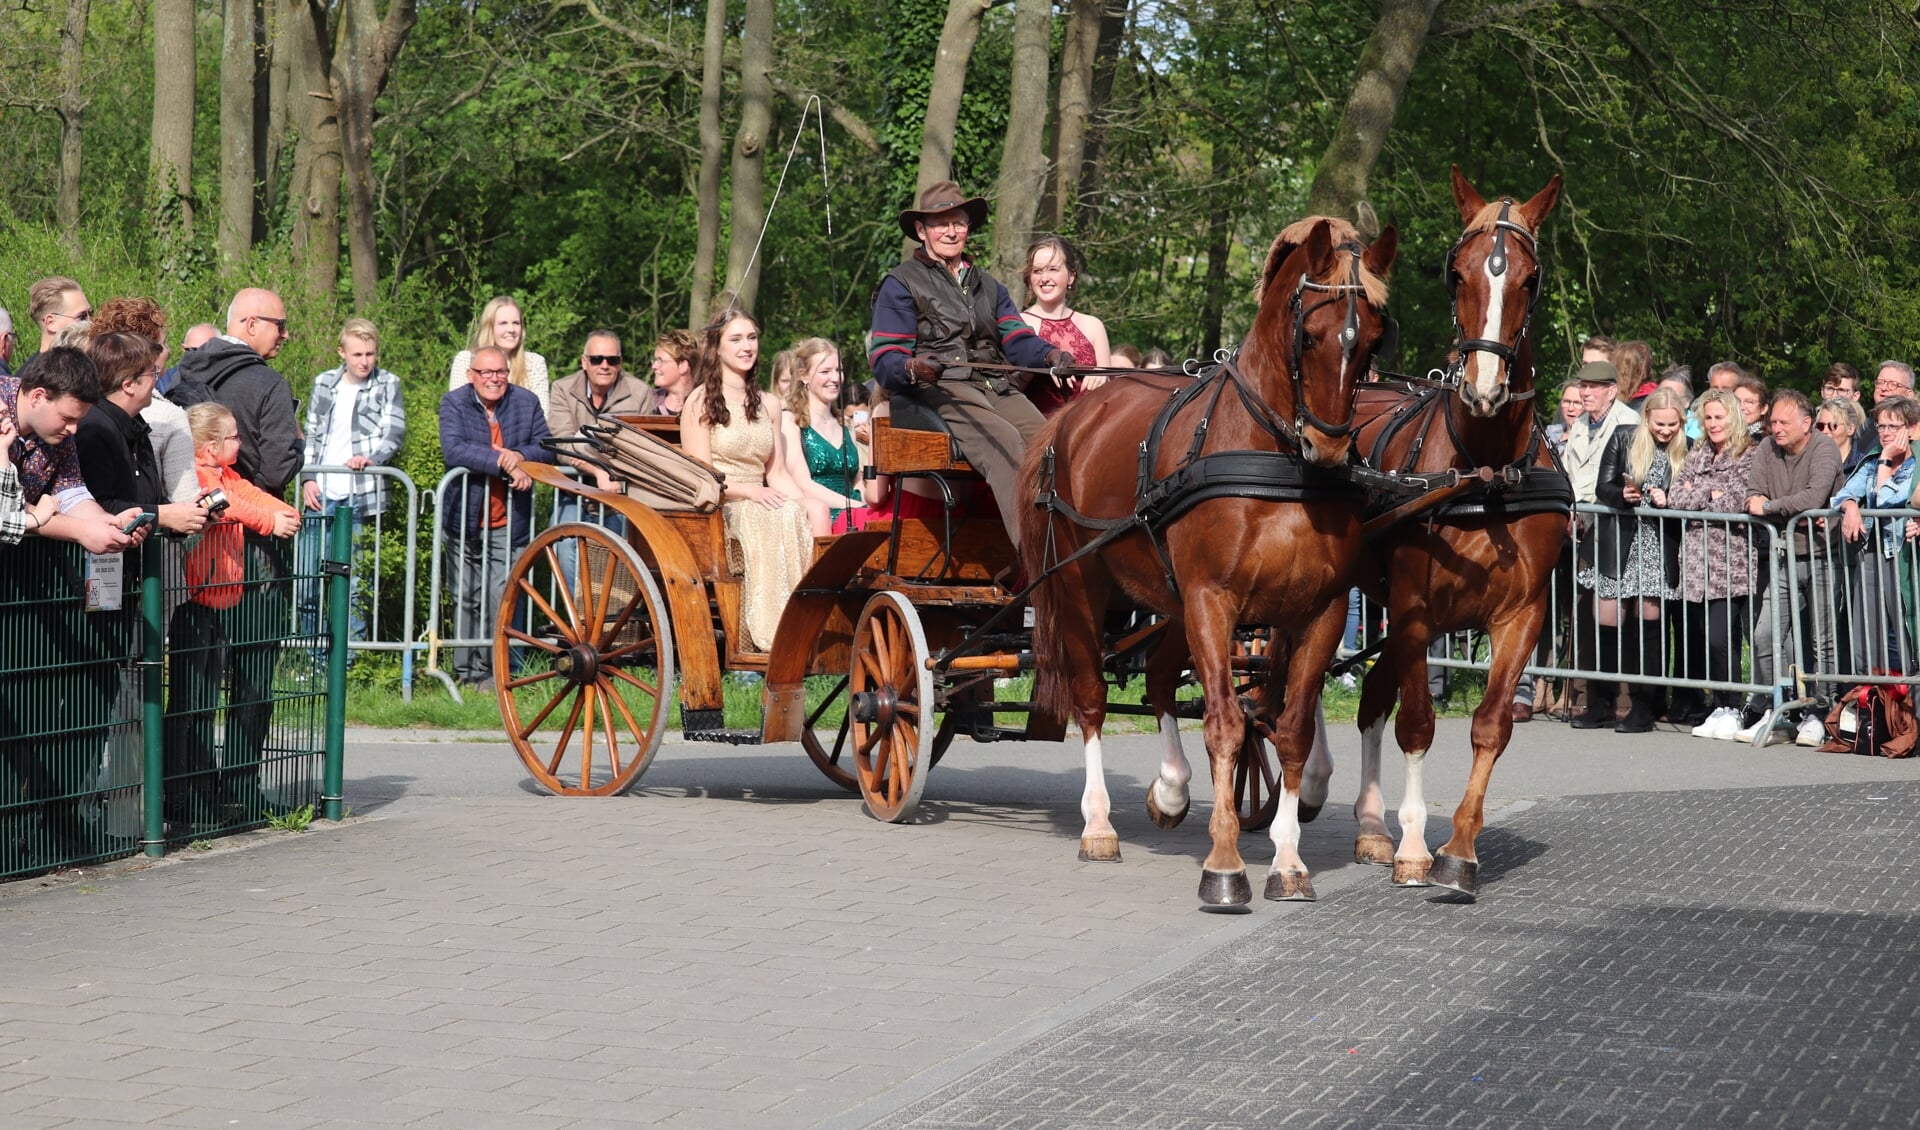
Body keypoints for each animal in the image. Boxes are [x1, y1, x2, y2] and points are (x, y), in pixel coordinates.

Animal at [1021, 217, 1397, 909]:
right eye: (1309, 334)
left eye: (1373, 340)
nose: (1328, 447)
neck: (1271, 461)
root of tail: (1072, 417)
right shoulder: (1211, 600)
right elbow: (1225, 723)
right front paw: (1224, 866)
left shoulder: (1320, 610)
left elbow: (1290, 726)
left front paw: (1287, 860)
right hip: (1084, 587)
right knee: (1091, 699)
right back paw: (1098, 824)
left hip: (1166, 600)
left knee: (1158, 677)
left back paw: (1170, 789)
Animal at [1328, 164, 1566, 897]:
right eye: (1455, 273)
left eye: (1530, 279)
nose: (1484, 388)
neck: (1481, 470)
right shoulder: (1412, 608)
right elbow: (1417, 723)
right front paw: (1413, 846)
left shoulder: (1523, 613)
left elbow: (1490, 726)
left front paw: (1459, 848)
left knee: (1369, 698)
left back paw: (1369, 826)